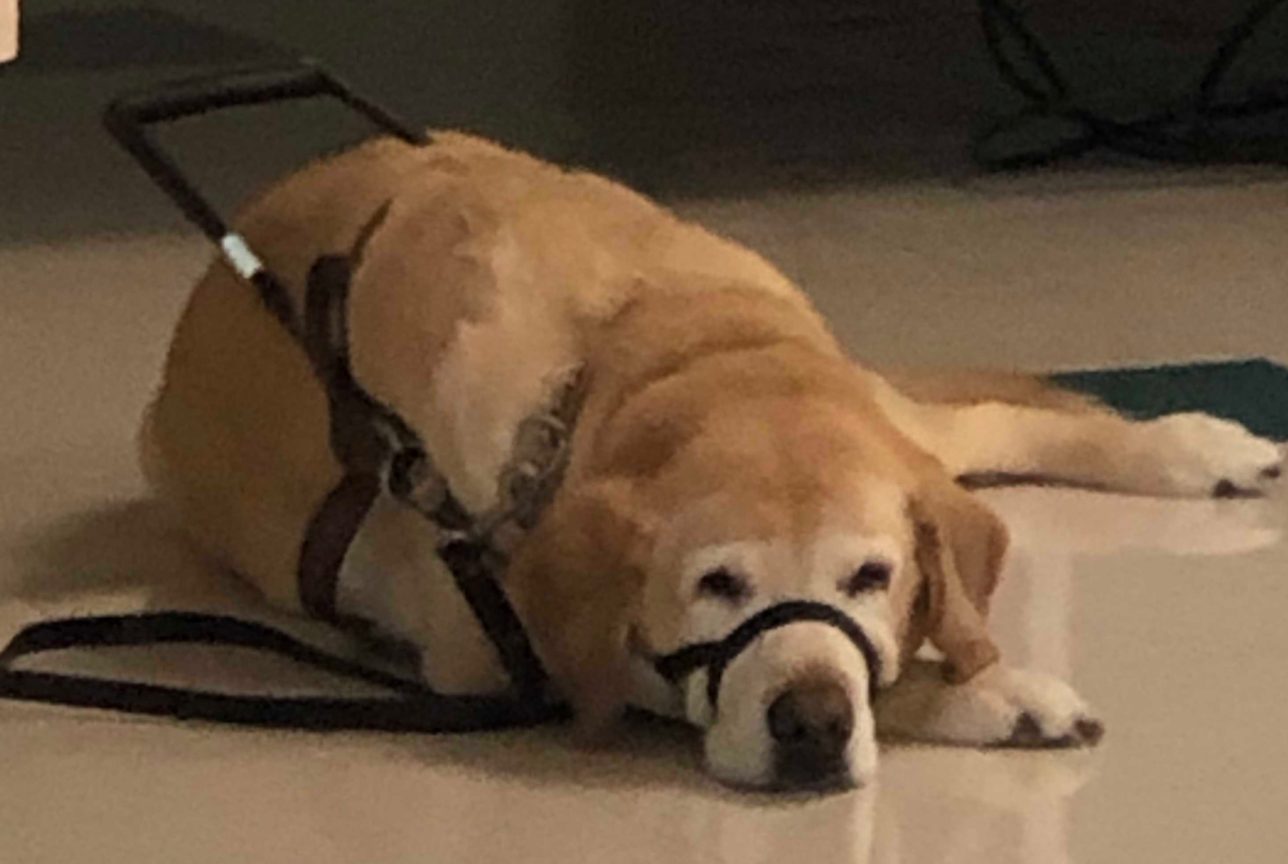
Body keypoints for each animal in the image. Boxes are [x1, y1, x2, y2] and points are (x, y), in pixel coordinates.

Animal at [143, 133, 1277, 793]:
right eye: (715, 585)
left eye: (872, 575)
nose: (813, 728)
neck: (647, 349)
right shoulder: (488, 653)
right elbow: (652, 674)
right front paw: (995, 696)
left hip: (894, 411)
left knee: (987, 422)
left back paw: (1196, 446)